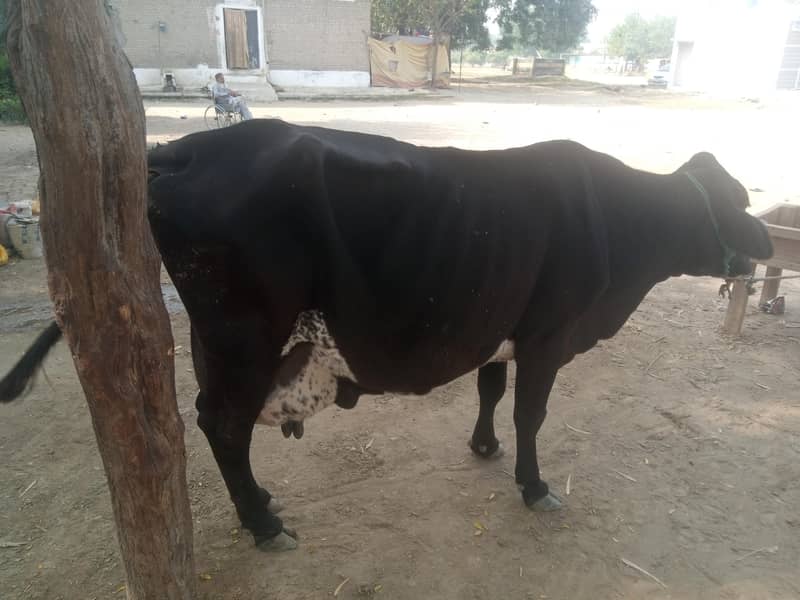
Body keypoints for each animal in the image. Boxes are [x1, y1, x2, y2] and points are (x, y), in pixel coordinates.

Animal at [0, 119, 773, 552]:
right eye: (737, 200)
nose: (770, 240)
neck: (618, 220)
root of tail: (183, 149)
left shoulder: (500, 326)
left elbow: (491, 388)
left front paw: (484, 446)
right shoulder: (549, 336)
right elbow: (531, 413)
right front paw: (532, 484)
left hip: (228, 343)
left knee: (217, 421)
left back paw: (263, 505)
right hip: (244, 335)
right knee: (221, 423)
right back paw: (263, 526)